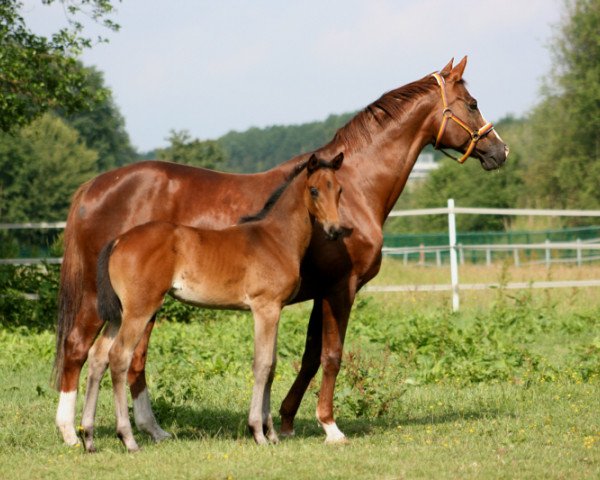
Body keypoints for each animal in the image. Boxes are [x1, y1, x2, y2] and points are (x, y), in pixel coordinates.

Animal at [79, 155, 342, 454]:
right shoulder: (265, 308)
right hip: (139, 311)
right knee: (119, 357)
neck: (275, 239)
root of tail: (119, 240)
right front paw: (258, 432)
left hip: (118, 315)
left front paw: (272, 433)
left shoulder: (275, 310)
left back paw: (88, 437)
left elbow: (273, 365)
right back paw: (128, 438)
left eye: (339, 190)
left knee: (97, 356)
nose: (335, 230)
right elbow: (263, 365)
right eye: (314, 190)